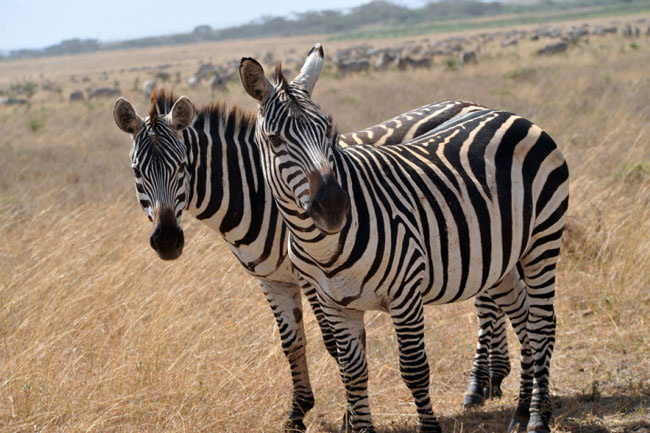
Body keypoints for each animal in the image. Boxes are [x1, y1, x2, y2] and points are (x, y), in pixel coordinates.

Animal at [239, 44, 568, 432]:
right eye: (274, 140)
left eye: (329, 131)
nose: (334, 206)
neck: (321, 245)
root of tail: (512, 115)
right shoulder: (334, 304)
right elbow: (353, 373)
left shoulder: (405, 293)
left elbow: (413, 370)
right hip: (500, 256)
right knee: (522, 315)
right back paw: (519, 410)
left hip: (542, 241)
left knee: (541, 323)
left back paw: (538, 416)